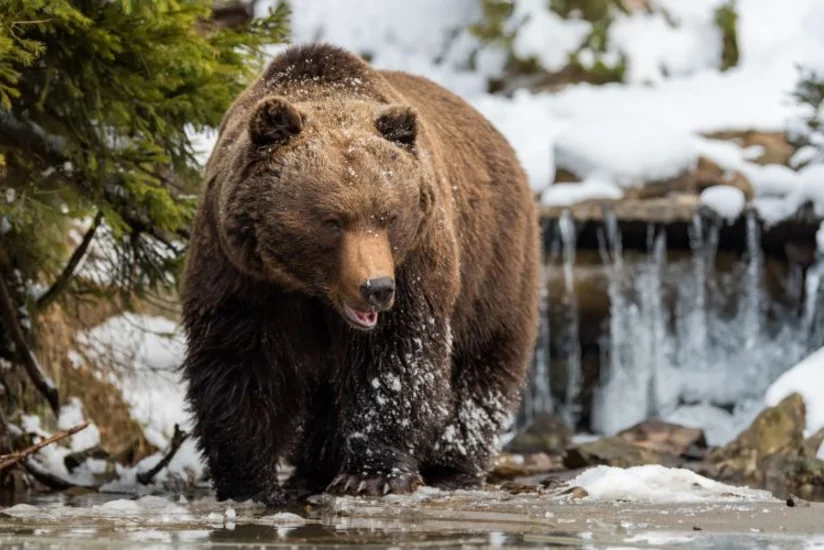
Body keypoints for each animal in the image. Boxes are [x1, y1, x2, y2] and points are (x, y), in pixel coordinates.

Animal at [180, 43, 541, 505]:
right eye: (332, 221)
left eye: (389, 216)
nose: (376, 288)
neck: (311, 289)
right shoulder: (242, 273)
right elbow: (241, 363)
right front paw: (250, 483)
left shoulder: (415, 264)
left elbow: (395, 361)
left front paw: (373, 474)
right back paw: (313, 470)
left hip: (494, 263)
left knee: (482, 365)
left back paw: (452, 467)